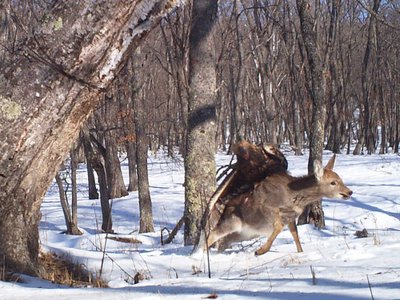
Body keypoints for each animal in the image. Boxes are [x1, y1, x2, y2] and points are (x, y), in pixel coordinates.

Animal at [200, 155, 354, 255]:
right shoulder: (268, 208)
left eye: (340, 178)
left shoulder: (291, 217)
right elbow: (278, 227)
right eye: (333, 182)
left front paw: (301, 252)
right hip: (232, 221)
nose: (349, 192)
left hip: (244, 233)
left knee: (223, 243)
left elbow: (295, 234)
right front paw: (261, 251)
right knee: (213, 234)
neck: (293, 196)